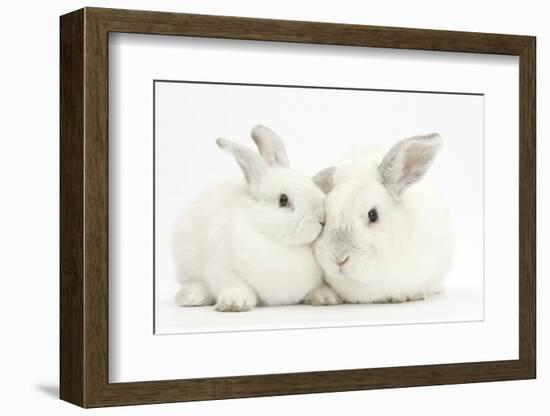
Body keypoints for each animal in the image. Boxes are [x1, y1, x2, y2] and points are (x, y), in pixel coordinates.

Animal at [175, 125, 342, 310]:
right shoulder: (223, 267)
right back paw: (191, 297)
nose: (321, 219)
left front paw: (326, 297)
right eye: (283, 200)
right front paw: (234, 303)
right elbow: (235, 284)